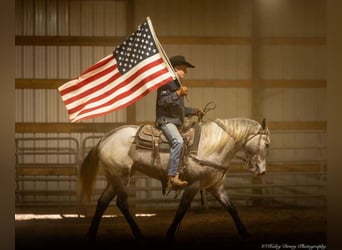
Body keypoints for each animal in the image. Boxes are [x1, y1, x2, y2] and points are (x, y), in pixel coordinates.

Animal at [79, 113, 272, 242]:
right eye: (266, 144)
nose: (261, 171)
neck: (211, 146)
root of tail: (105, 138)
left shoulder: (216, 187)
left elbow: (232, 208)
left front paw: (245, 232)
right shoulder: (193, 185)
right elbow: (181, 210)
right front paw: (170, 234)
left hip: (114, 178)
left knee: (102, 202)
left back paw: (91, 233)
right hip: (121, 176)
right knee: (122, 203)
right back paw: (138, 233)